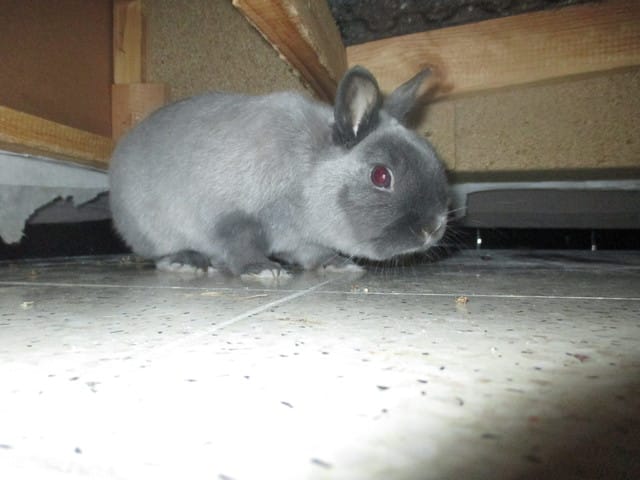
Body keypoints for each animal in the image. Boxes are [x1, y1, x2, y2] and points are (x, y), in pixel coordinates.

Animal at [108, 65, 449, 276]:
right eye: (381, 176)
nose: (433, 229)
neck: (306, 178)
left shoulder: (303, 240)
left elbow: (314, 255)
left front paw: (338, 264)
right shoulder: (233, 217)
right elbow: (241, 245)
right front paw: (263, 270)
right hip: (153, 228)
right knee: (162, 254)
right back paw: (186, 262)